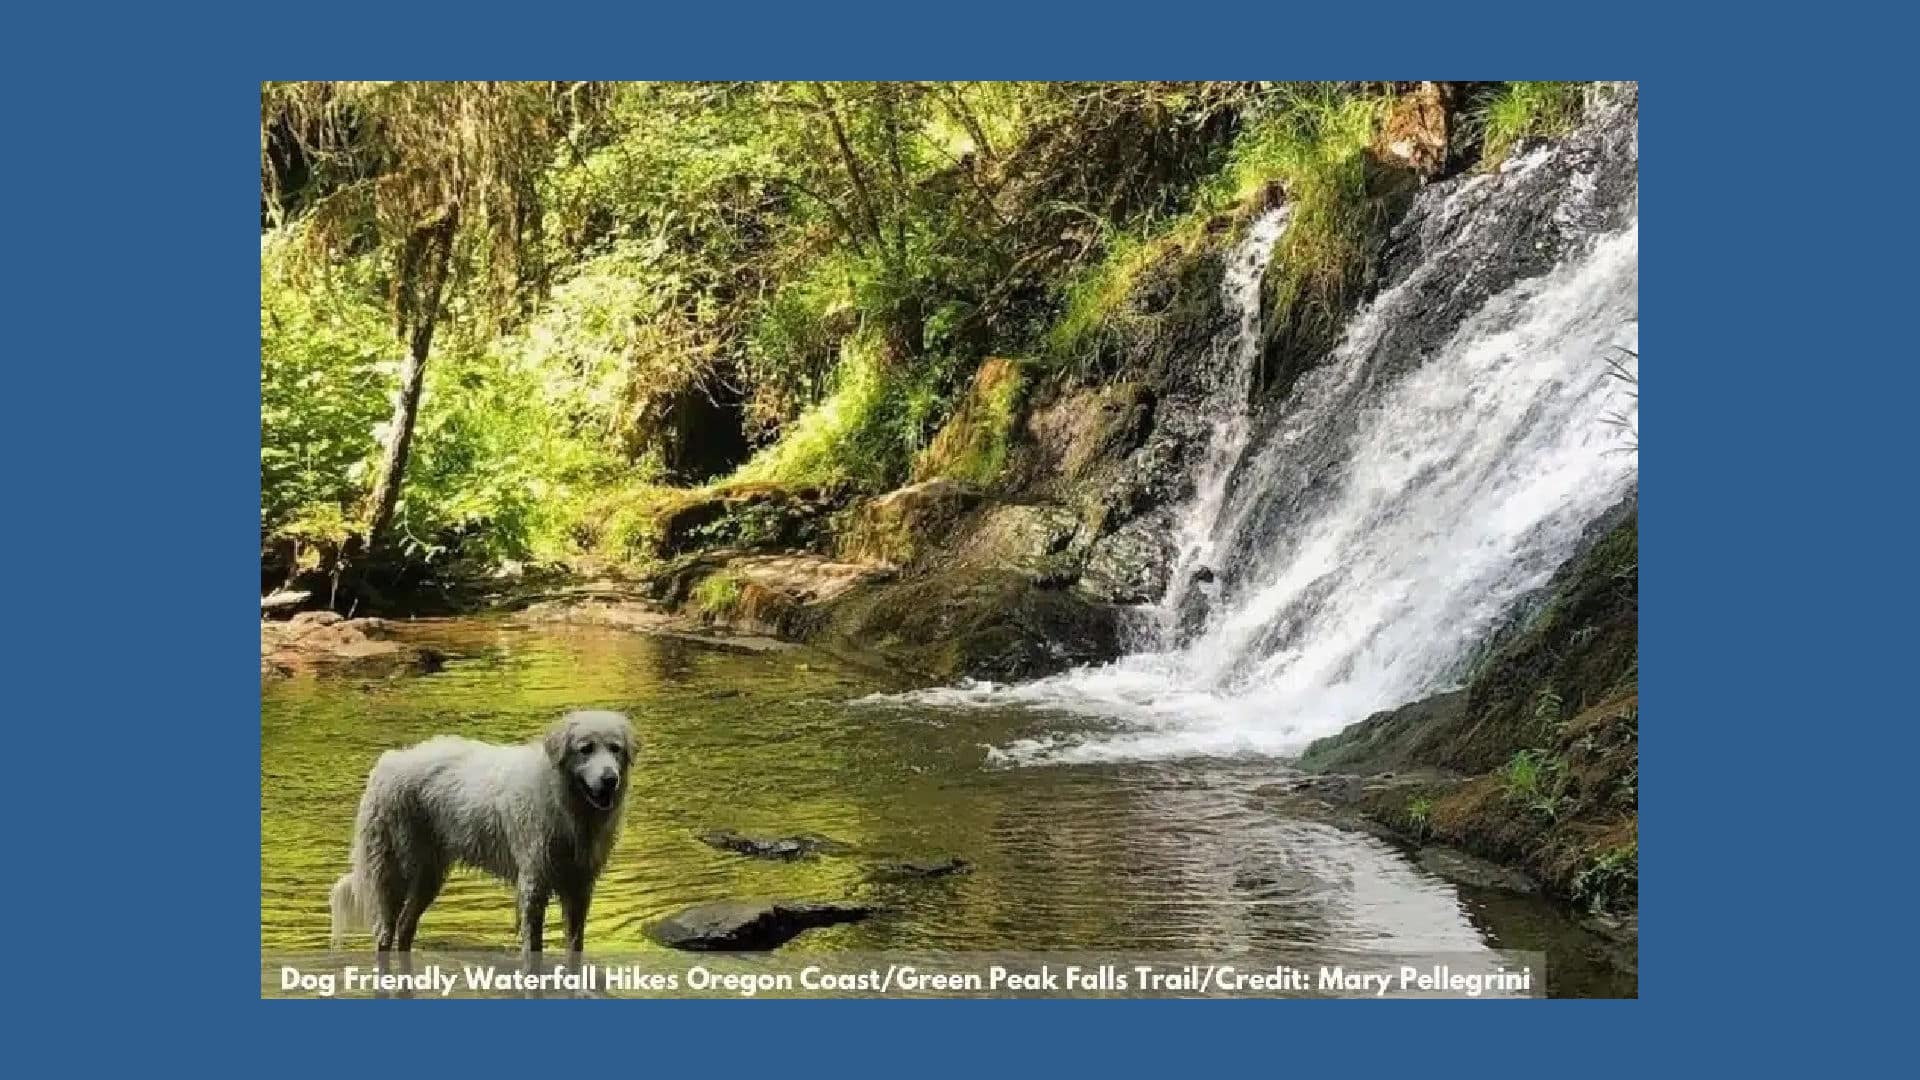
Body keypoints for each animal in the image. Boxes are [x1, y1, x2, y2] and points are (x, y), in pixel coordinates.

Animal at [326, 711, 633, 953]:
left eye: (615, 748)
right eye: (586, 748)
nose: (610, 779)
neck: (562, 799)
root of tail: (386, 763)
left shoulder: (580, 886)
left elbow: (575, 945)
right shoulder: (533, 883)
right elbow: (533, 946)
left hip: (428, 875)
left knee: (405, 927)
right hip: (394, 870)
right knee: (384, 933)